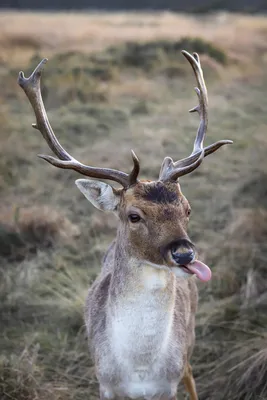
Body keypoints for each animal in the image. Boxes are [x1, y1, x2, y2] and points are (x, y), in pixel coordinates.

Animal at [18, 50, 232, 400]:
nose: (185, 254)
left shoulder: (168, 386)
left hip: (190, 336)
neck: (139, 370)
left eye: (187, 209)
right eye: (134, 215)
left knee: (190, 371)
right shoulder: (105, 383)